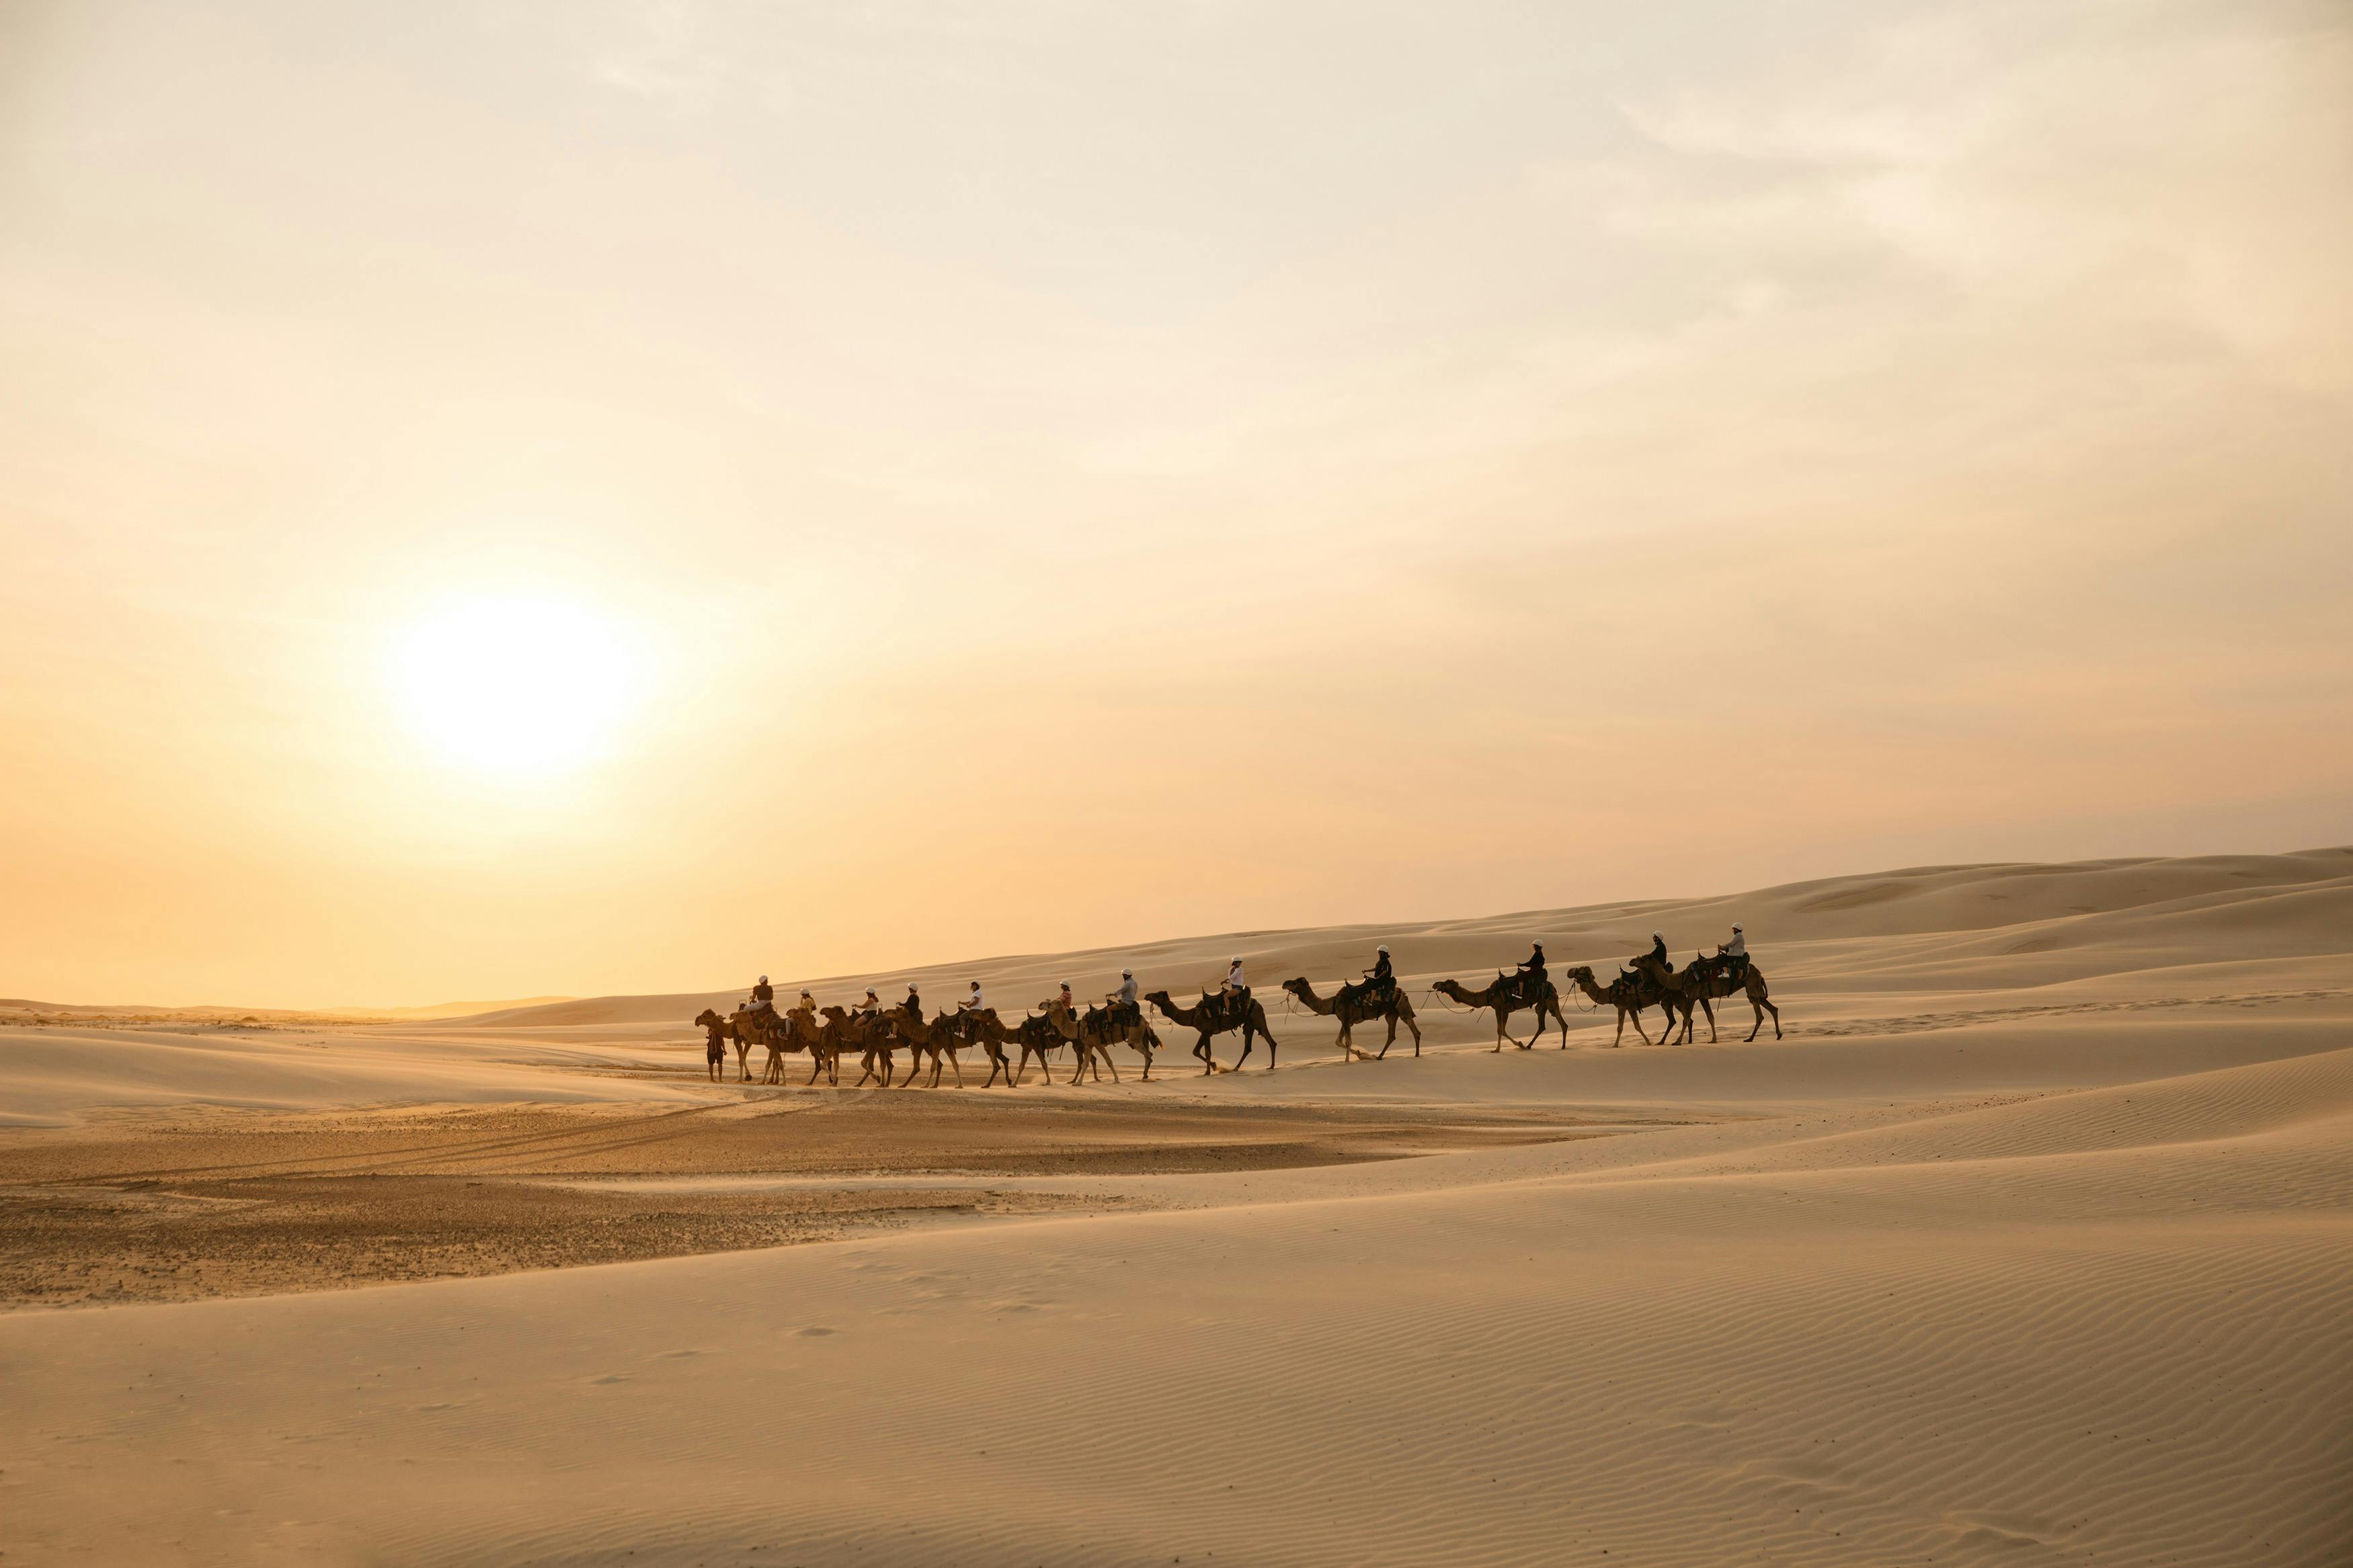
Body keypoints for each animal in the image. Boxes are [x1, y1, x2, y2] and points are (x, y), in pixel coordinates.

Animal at [1145, 988, 1279, 1073]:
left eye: (1157, 995)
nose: (1146, 996)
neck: (1193, 1016)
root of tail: (1259, 1004)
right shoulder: (1205, 1032)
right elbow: (1195, 1051)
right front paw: (1214, 1066)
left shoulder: (1205, 1031)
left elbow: (1207, 1052)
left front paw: (1208, 1072)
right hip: (1250, 1024)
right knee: (1248, 1047)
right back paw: (1236, 1068)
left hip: (1257, 1019)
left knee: (1271, 1041)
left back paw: (1271, 1066)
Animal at [1280, 977, 1419, 1060]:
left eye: (1295, 982)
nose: (1284, 983)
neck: (1334, 1004)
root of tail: (1404, 993)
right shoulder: (1345, 1021)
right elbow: (1338, 1041)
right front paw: (1360, 1054)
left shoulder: (1346, 1020)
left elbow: (1348, 1042)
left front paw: (1347, 1061)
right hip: (1391, 1013)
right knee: (1392, 1035)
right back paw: (1379, 1056)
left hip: (1402, 1009)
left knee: (1414, 1030)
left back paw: (1416, 1054)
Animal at [1431, 973, 1569, 1051]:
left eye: (1446, 983)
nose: (1435, 984)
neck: (1487, 995)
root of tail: (1554, 987)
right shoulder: (1505, 1010)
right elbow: (1503, 1030)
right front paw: (1520, 1044)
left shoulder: (1499, 1008)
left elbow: (1500, 1030)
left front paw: (1498, 1049)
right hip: (1541, 1005)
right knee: (1542, 1026)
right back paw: (1529, 1045)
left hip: (1550, 1000)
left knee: (1563, 1023)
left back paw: (1562, 1046)